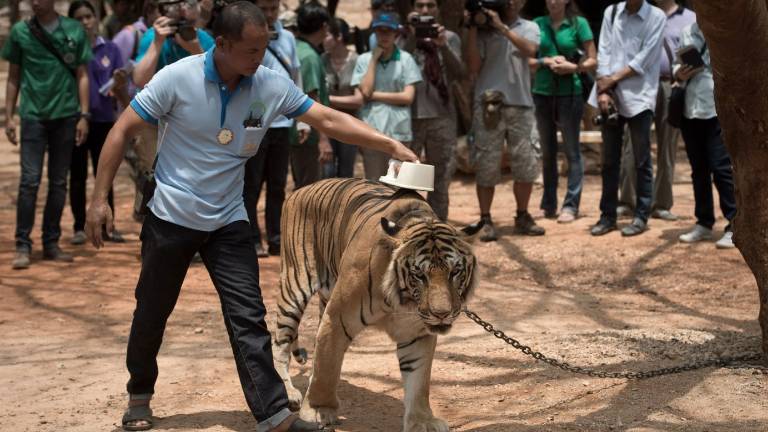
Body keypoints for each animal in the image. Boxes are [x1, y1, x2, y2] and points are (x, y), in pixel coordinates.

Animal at [272, 178, 482, 432]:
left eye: (455, 272)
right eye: (420, 275)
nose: (442, 314)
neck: (401, 301)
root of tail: (301, 189)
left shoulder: (417, 332)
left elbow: (419, 380)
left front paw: (422, 421)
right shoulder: (337, 319)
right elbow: (327, 367)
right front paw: (317, 411)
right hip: (294, 285)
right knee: (280, 344)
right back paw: (289, 393)